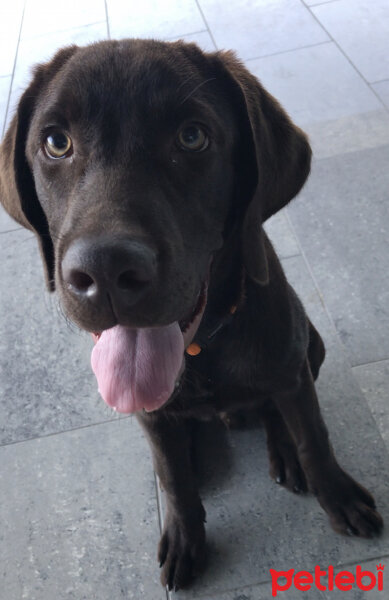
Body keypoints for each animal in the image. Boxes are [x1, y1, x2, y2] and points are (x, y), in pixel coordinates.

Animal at [0, 38, 382, 592]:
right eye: (55, 142)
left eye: (192, 136)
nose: (105, 270)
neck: (203, 347)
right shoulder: (146, 411)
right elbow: (173, 478)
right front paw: (186, 538)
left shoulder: (291, 371)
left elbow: (314, 437)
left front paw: (337, 495)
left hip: (312, 344)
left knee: (276, 413)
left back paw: (282, 450)